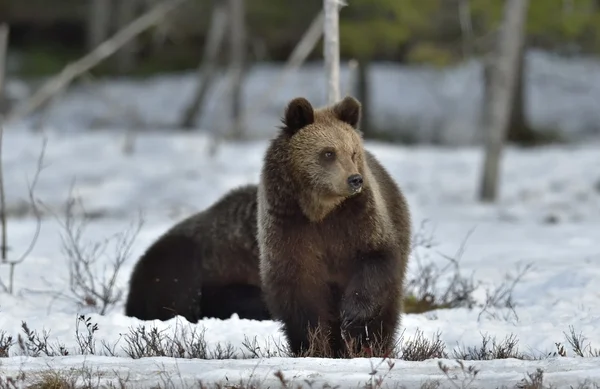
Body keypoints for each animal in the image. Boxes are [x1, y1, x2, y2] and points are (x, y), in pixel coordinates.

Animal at [255, 95, 414, 356]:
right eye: (328, 153)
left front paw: (351, 314)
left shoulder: (358, 220)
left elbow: (377, 258)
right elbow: (298, 290)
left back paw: (370, 347)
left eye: (352, 152)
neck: (321, 210)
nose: (355, 179)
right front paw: (314, 344)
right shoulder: (289, 227)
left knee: (385, 314)